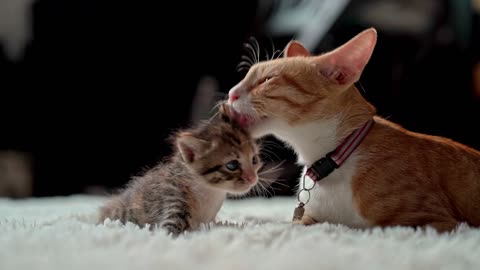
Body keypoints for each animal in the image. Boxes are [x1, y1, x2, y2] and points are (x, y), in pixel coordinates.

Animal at [98, 104, 262, 235]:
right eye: (232, 165)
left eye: (254, 160)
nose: (253, 178)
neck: (210, 192)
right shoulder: (173, 197)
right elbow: (170, 229)